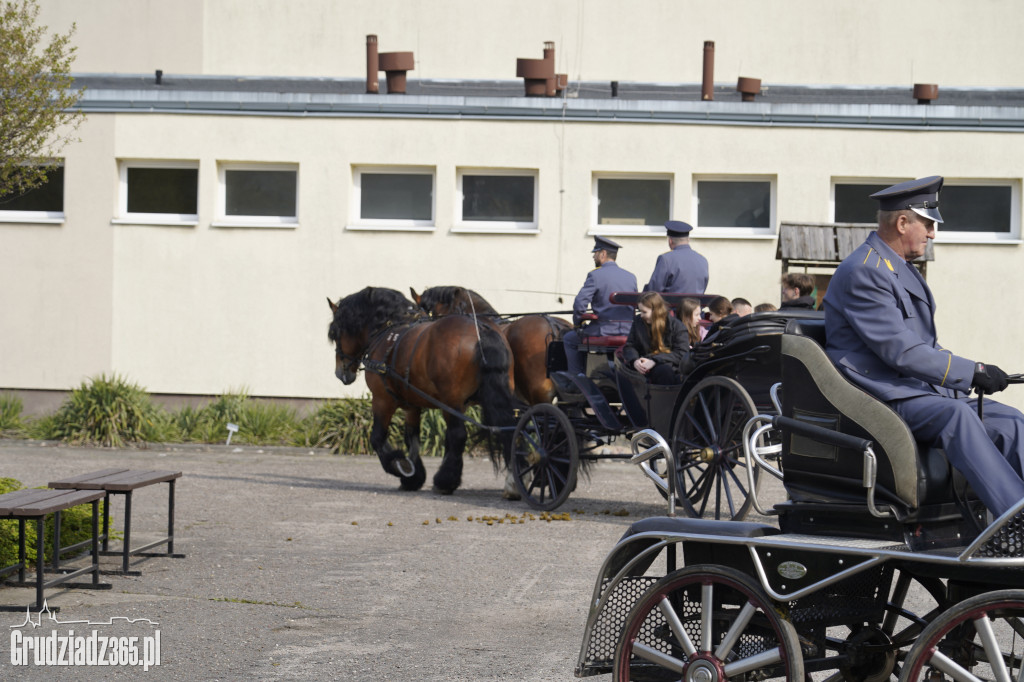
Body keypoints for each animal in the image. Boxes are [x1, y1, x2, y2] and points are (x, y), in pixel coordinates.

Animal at [329, 284, 520, 493]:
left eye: (335, 334)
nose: (340, 372)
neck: (388, 330)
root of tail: (482, 330)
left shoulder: (382, 399)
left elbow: (377, 438)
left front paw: (400, 466)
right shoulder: (412, 405)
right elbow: (412, 437)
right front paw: (414, 477)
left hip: (451, 403)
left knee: (459, 436)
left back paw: (446, 481)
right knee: (508, 428)